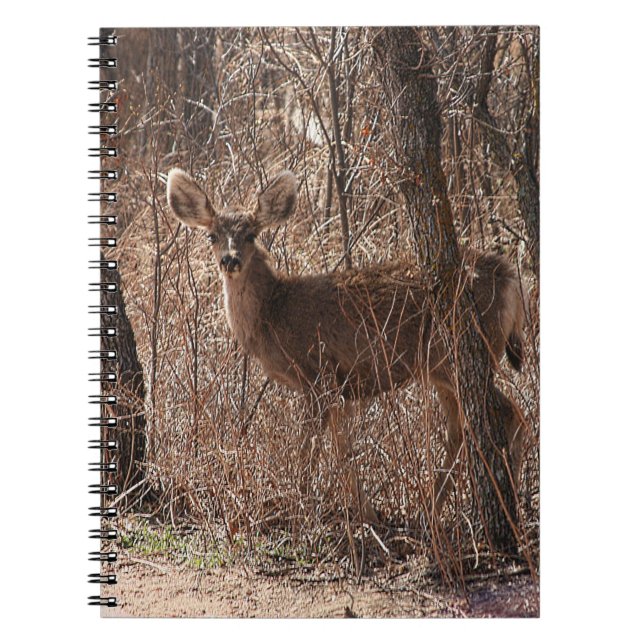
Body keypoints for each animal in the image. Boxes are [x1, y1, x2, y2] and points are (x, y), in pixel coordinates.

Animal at [166, 168, 526, 525]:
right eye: (212, 236)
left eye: (252, 235)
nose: (230, 260)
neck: (274, 314)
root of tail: (508, 275)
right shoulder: (339, 388)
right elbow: (344, 451)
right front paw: (367, 513)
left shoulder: (317, 374)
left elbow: (308, 447)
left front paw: (298, 503)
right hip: (440, 367)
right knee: (460, 429)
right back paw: (433, 511)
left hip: (459, 351)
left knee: (510, 413)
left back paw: (508, 502)